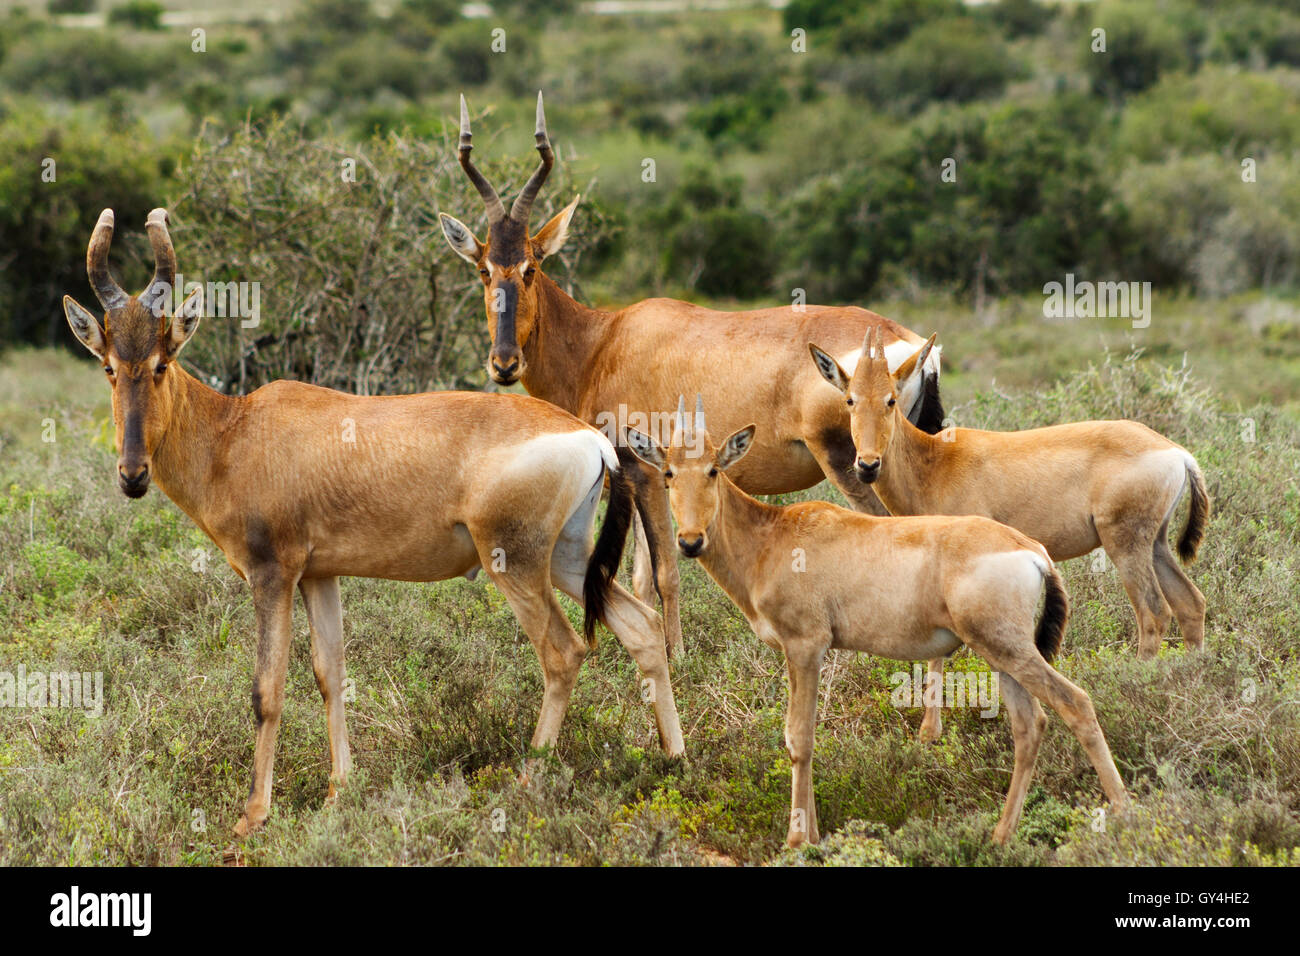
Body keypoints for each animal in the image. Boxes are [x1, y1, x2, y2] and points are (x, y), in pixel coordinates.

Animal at [65, 208, 686, 837]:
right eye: (109, 366)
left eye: (161, 363)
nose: (132, 475)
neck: (233, 430)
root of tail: (591, 439)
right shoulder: (319, 575)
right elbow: (329, 672)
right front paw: (338, 792)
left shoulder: (272, 575)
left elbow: (267, 688)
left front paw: (252, 815)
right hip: (567, 558)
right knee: (641, 626)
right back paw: (674, 758)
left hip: (516, 562)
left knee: (562, 652)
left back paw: (527, 781)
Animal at [618, 395, 1128, 842]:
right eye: (668, 472)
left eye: (713, 469)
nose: (690, 541)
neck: (775, 535)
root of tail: (1032, 551)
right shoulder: (799, 653)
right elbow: (800, 738)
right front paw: (813, 834)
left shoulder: (806, 647)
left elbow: (799, 738)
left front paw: (797, 841)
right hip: (1003, 654)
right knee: (1030, 725)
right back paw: (1000, 838)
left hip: (1009, 649)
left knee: (1075, 703)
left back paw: (1123, 813)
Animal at [811, 332, 1206, 743]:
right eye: (850, 399)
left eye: (891, 399)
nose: (867, 465)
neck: (935, 460)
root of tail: (1178, 453)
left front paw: (930, 733)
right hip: (1156, 543)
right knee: (1190, 603)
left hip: (1125, 544)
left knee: (1153, 613)